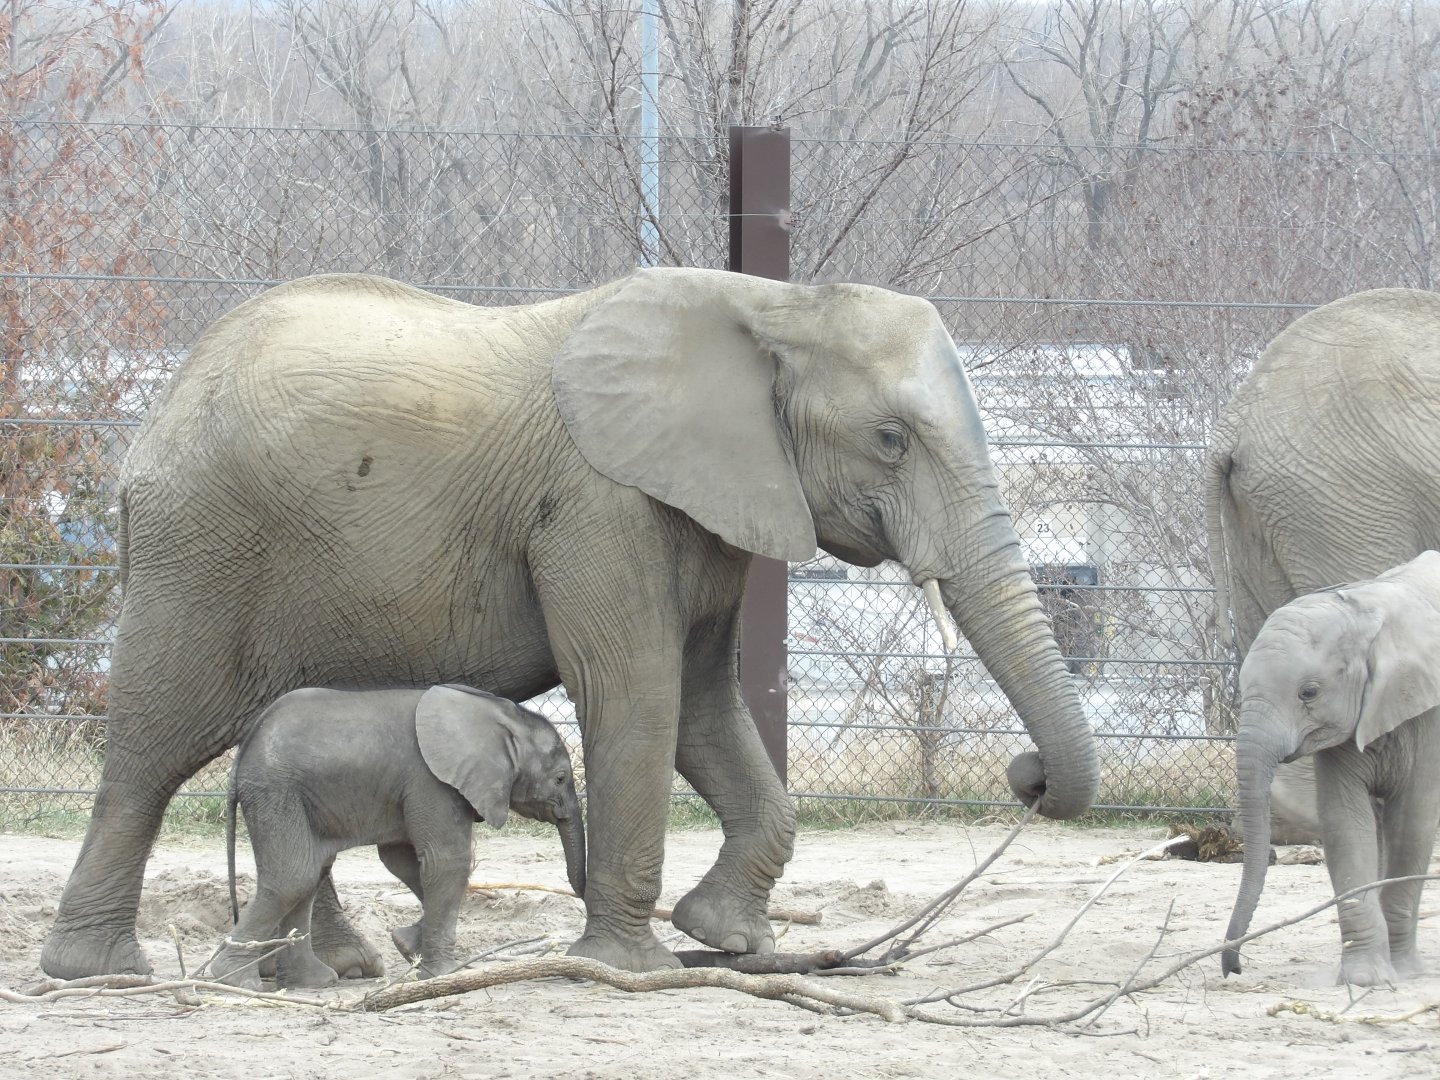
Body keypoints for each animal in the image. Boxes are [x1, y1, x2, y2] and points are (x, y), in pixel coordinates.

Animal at [212, 684, 584, 989]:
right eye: (561, 778)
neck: (501, 714)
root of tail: (241, 756)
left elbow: (403, 861)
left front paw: (407, 944)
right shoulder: (430, 780)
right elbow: (446, 860)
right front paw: (444, 973)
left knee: (310, 875)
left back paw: (313, 981)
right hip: (277, 792)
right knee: (295, 876)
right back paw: (234, 981)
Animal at [1221, 553, 1440, 985]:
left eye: (1309, 693)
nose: (1233, 968)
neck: (1363, 609)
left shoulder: (1428, 711)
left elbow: (1413, 823)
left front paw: (1403, 974)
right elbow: (1346, 822)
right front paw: (1366, 978)